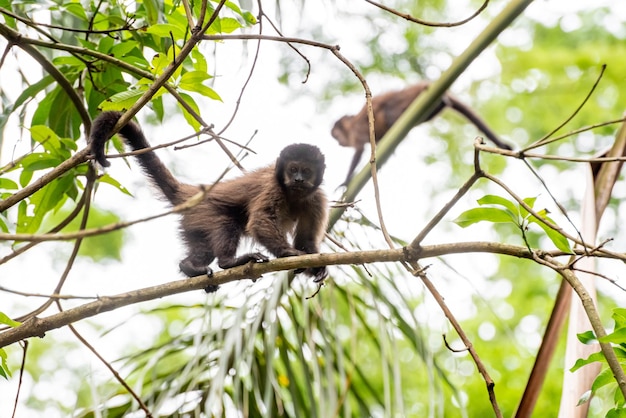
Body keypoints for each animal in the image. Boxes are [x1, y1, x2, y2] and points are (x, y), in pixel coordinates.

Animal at [91, 112, 332, 292]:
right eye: (293, 169)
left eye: (306, 171)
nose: (298, 179)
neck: (293, 194)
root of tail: (196, 193)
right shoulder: (273, 187)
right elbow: (260, 220)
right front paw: (289, 253)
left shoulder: (317, 200)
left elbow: (307, 240)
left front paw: (315, 265)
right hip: (205, 212)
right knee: (227, 223)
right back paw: (228, 262)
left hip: (194, 223)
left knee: (203, 247)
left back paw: (190, 266)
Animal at [330, 81, 510, 185]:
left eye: (337, 136)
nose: (339, 142)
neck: (350, 126)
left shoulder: (356, 133)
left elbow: (359, 150)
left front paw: (346, 182)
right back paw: (442, 103)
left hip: (405, 100)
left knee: (390, 113)